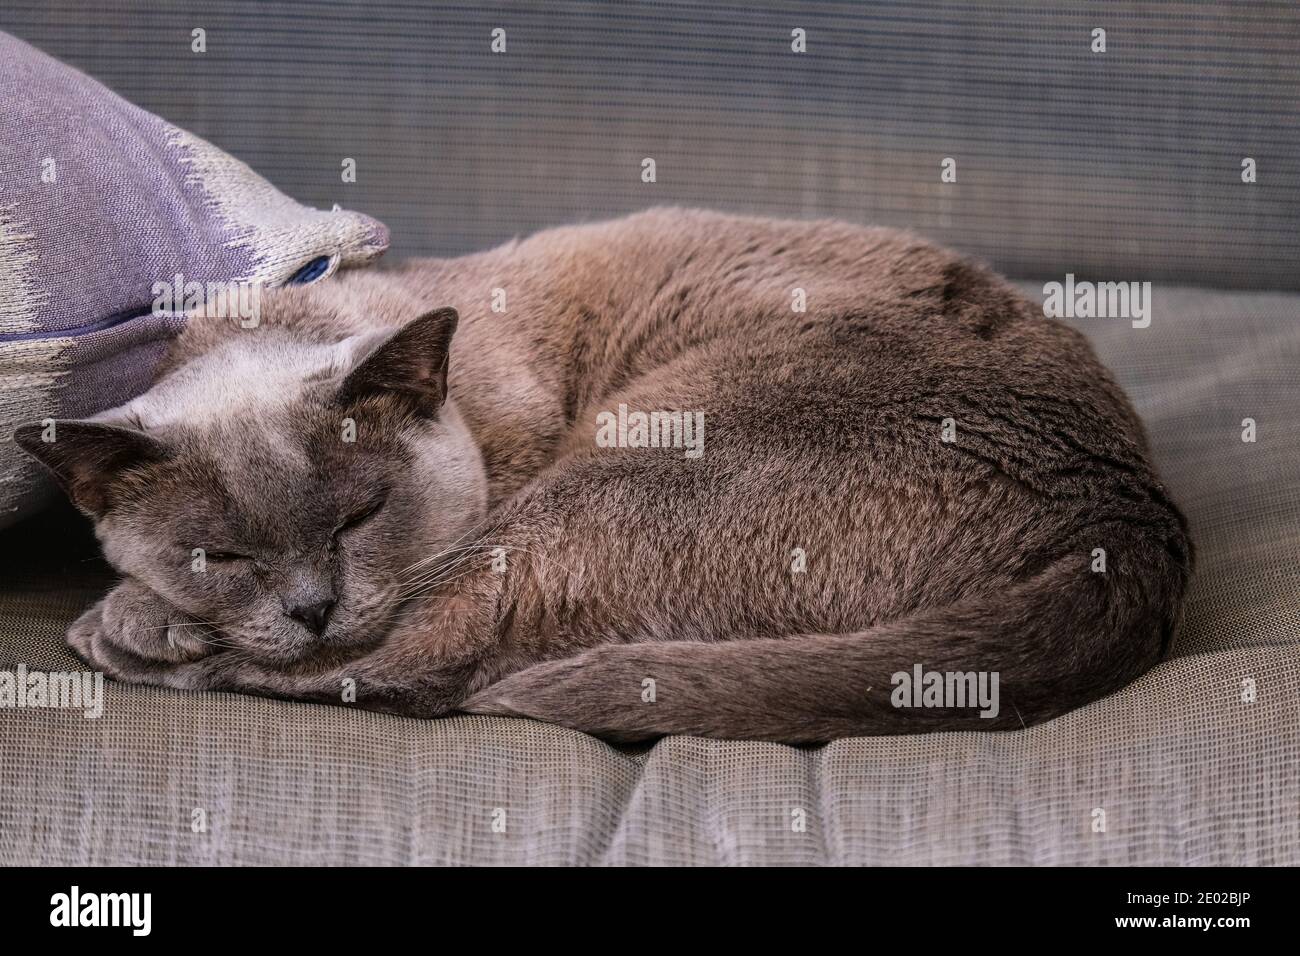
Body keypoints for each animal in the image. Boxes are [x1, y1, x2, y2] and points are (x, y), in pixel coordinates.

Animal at [10, 209, 1190, 743]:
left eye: (360, 516)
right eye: (219, 553)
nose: (309, 605)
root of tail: (1126, 514)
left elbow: (388, 656)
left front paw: (142, 616)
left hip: (607, 478)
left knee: (433, 670)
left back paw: (126, 636)